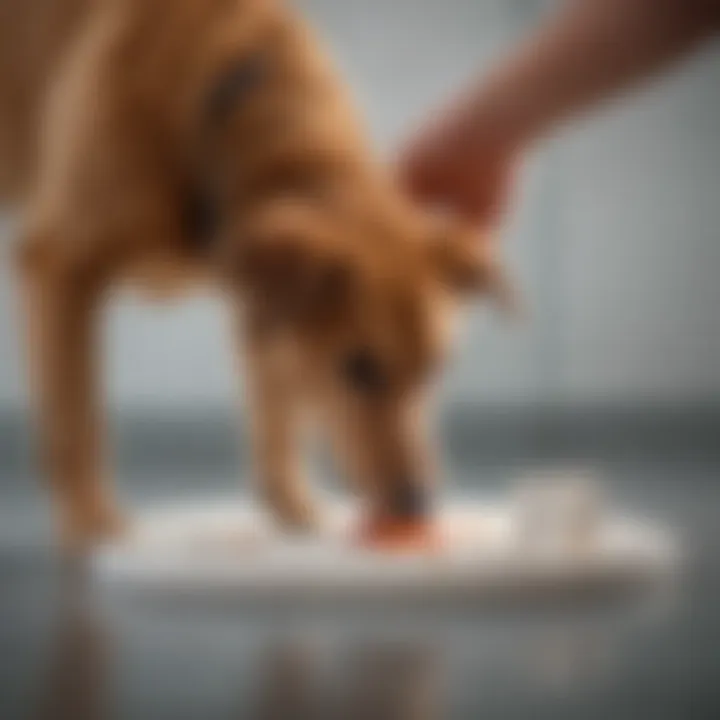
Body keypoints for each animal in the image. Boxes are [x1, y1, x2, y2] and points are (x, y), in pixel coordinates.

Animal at [0, 0, 510, 552]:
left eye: (438, 367)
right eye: (359, 367)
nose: (418, 505)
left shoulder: (258, 307)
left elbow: (276, 413)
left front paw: (294, 507)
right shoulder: (60, 265)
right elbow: (76, 420)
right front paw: (92, 525)